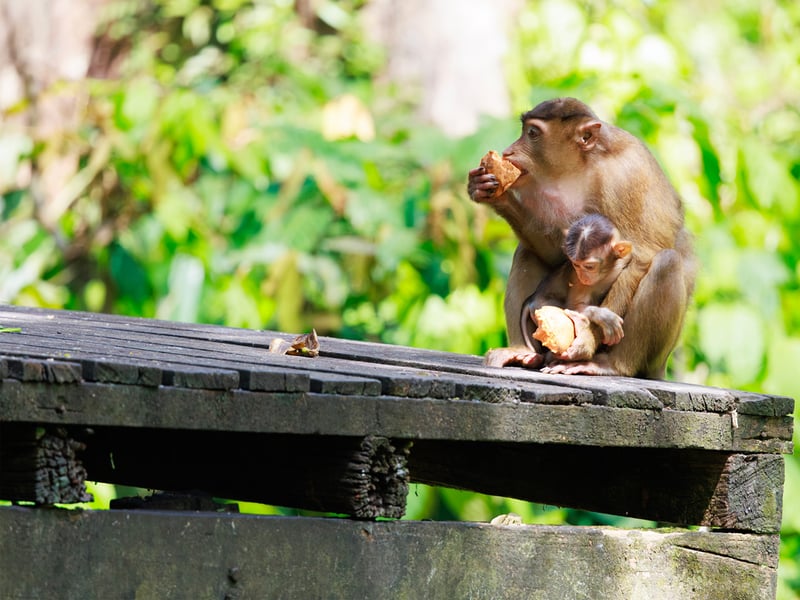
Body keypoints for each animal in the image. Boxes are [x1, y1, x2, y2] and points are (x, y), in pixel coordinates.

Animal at [519, 213, 633, 370]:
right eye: (576, 265)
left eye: (589, 266)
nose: (583, 276)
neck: (607, 272)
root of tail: (532, 298)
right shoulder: (578, 282)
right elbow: (573, 306)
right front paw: (603, 316)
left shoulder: (624, 259)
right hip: (541, 306)